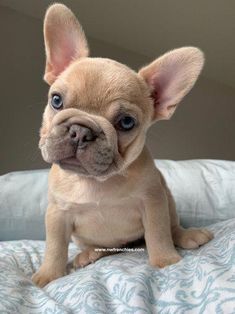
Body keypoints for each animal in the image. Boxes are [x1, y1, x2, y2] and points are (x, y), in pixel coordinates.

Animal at [32, 3, 214, 288]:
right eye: (56, 100)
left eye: (126, 122)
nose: (80, 131)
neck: (97, 182)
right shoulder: (57, 214)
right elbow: (54, 247)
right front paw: (48, 275)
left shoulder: (153, 203)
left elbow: (158, 234)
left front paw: (165, 261)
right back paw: (88, 255)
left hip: (169, 201)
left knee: (172, 227)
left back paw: (187, 235)